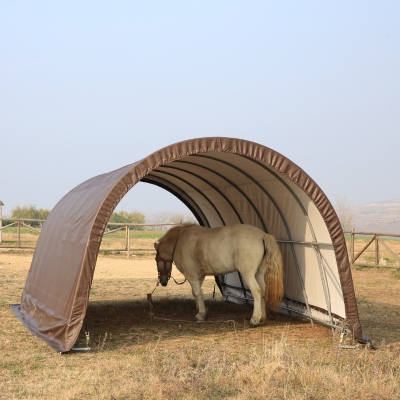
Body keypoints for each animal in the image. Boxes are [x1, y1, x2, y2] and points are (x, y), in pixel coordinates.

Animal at [154, 223, 284, 326]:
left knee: (256, 290)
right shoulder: (200, 276)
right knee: (263, 290)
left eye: (156, 259)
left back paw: (255, 319)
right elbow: (196, 293)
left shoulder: (191, 274)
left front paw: (201, 315)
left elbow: (197, 293)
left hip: (248, 273)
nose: (162, 281)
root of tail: (262, 235)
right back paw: (262, 318)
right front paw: (202, 309)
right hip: (259, 273)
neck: (179, 241)